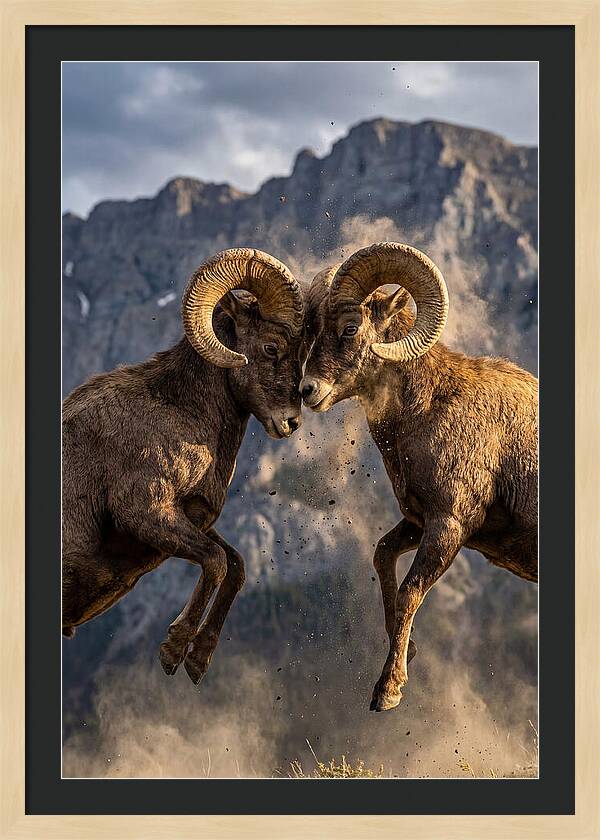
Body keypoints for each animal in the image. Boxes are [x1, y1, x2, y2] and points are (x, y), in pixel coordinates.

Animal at [62, 248, 306, 685]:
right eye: (271, 347)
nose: (291, 422)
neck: (181, 411)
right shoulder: (146, 513)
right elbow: (215, 562)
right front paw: (174, 651)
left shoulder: (191, 518)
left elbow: (235, 566)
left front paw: (197, 661)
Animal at [300, 242, 538, 712]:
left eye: (350, 327)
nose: (307, 391)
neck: (429, 409)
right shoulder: (417, 521)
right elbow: (382, 556)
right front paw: (406, 651)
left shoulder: (449, 526)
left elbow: (410, 592)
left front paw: (388, 691)